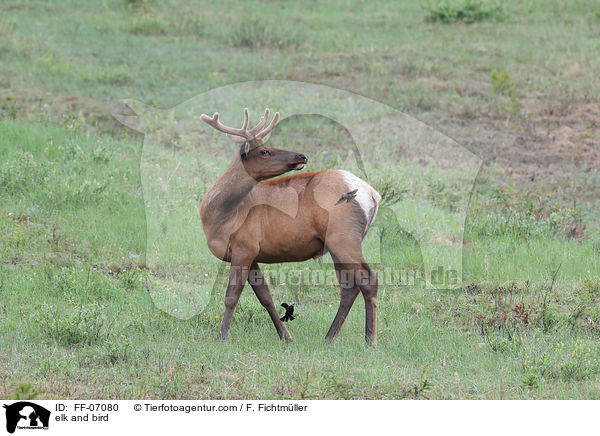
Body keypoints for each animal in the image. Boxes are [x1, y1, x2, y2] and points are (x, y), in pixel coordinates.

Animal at [200, 109, 380, 344]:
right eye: (265, 151)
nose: (302, 156)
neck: (218, 216)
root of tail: (373, 195)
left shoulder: (244, 247)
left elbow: (231, 297)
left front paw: (222, 337)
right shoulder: (251, 254)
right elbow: (265, 297)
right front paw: (286, 336)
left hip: (344, 239)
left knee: (369, 281)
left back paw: (370, 340)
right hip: (336, 245)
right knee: (349, 289)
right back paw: (329, 337)